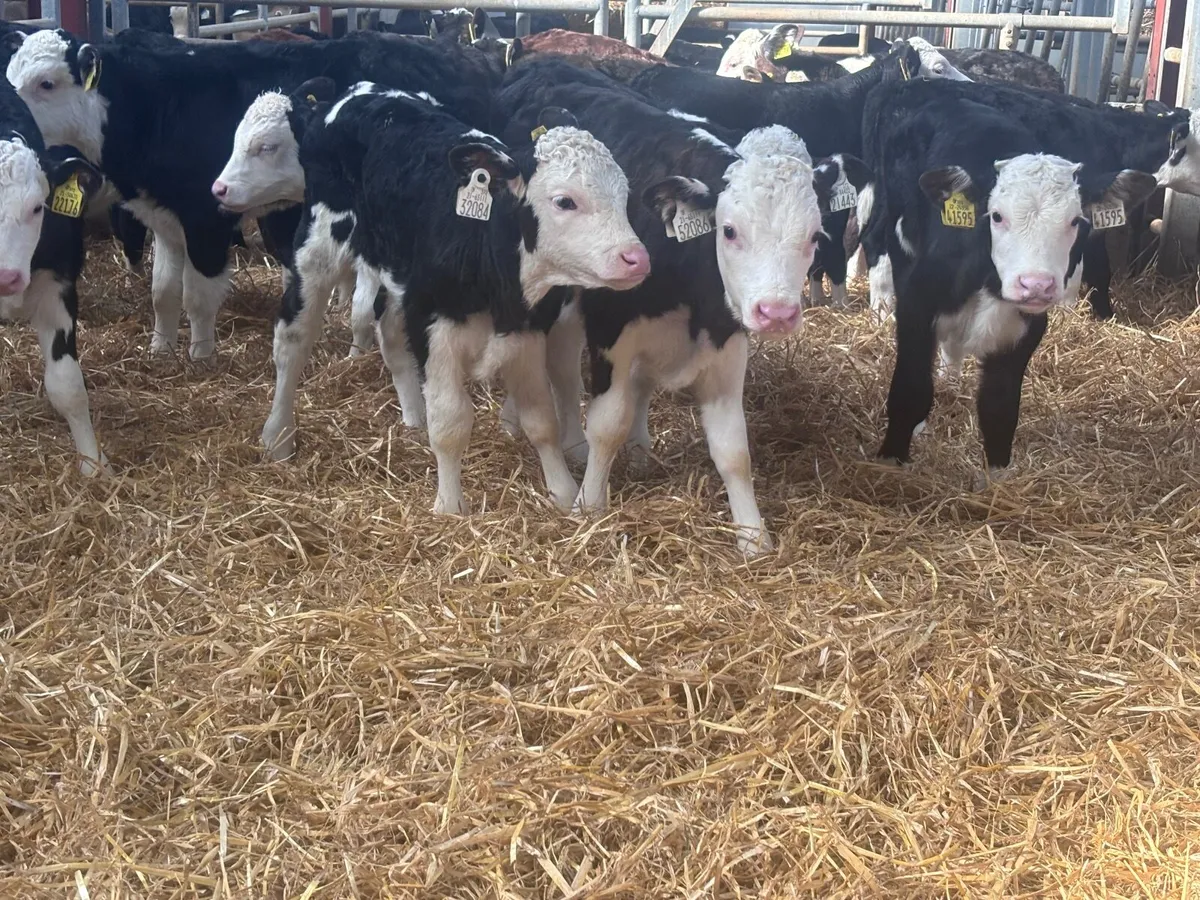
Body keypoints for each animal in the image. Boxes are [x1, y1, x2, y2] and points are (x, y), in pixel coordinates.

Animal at [6, 28, 500, 360]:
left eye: (47, 82)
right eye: (12, 75)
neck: (155, 106)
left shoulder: (206, 219)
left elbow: (197, 296)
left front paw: (201, 355)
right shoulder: (165, 220)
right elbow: (162, 292)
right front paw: (160, 348)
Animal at [261, 81, 650, 519]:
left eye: (624, 194)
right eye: (565, 200)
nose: (637, 258)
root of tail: (357, 92)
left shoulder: (524, 333)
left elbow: (541, 419)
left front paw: (564, 492)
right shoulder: (436, 330)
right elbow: (450, 423)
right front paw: (449, 506)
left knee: (389, 334)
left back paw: (413, 417)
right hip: (318, 249)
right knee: (292, 341)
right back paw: (278, 435)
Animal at [496, 59, 847, 553]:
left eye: (814, 235)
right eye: (730, 230)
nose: (776, 313)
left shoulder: (725, 341)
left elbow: (733, 449)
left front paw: (753, 536)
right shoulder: (611, 333)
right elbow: (607, 423)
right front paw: (589, 504)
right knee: (560, 368)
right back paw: (556, 438)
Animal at [869, 86, 1157, 485]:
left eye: (1075, 220)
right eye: (997, 216)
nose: (1036, 284)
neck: (988, 281)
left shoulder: (1026, 329)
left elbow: (999, 409)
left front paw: (997, 483)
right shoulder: (916, 303)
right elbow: (911, 391)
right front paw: (889, 463)